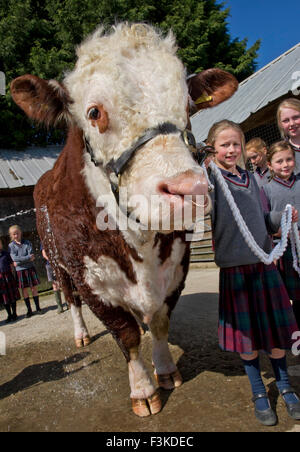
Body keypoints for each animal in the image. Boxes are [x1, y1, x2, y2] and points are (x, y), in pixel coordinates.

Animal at [10, 23, 238, 414]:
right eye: (94, 112)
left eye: (189, 106)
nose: (189, 189)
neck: (139, 244)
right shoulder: (89, 278)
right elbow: (125, 333)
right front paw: (144, 391)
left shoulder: (177, 265)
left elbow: (160, 320)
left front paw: (165, 370)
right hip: (56, 263)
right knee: (71, 301)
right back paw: (81, 334)